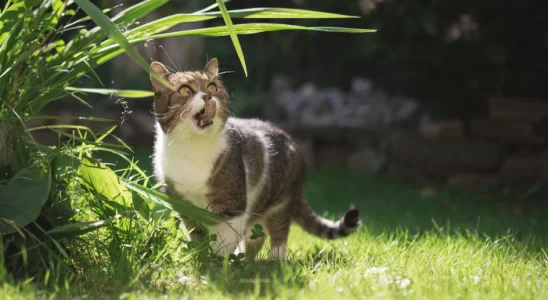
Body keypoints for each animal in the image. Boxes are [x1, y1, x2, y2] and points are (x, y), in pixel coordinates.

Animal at [149, 58, 360, 260]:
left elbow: (223, 241)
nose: (208, 96)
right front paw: (201, 257)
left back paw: (275, 262)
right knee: (255, 238)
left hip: (280, 202)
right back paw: (245, 261)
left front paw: (217, 263)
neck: (192, 149)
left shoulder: (232, 206)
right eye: (185, 89)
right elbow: (197, 236)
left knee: (278, 234)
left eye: (212, 87)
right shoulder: (184, 207)